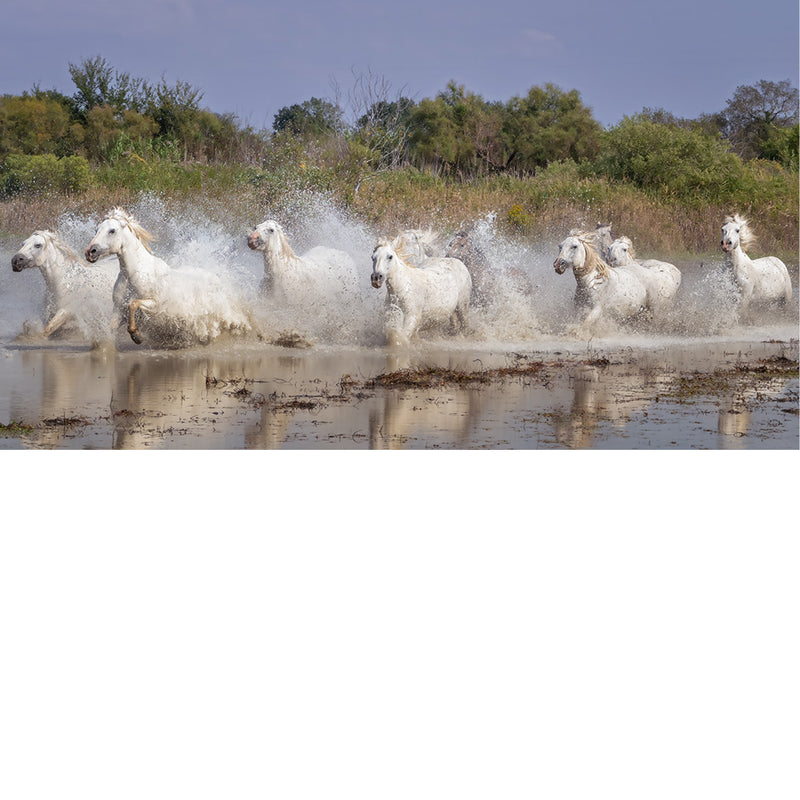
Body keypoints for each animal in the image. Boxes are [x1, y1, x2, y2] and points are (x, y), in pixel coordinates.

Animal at [86, 208, 253, 346]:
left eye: (112, 231)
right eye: (96, 230)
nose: (90, 252)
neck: (134, 273)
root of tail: (217, 278)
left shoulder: (155, 304)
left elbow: (133, 304)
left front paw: (137, 336)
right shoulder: (118, 309)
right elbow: (112, 325)